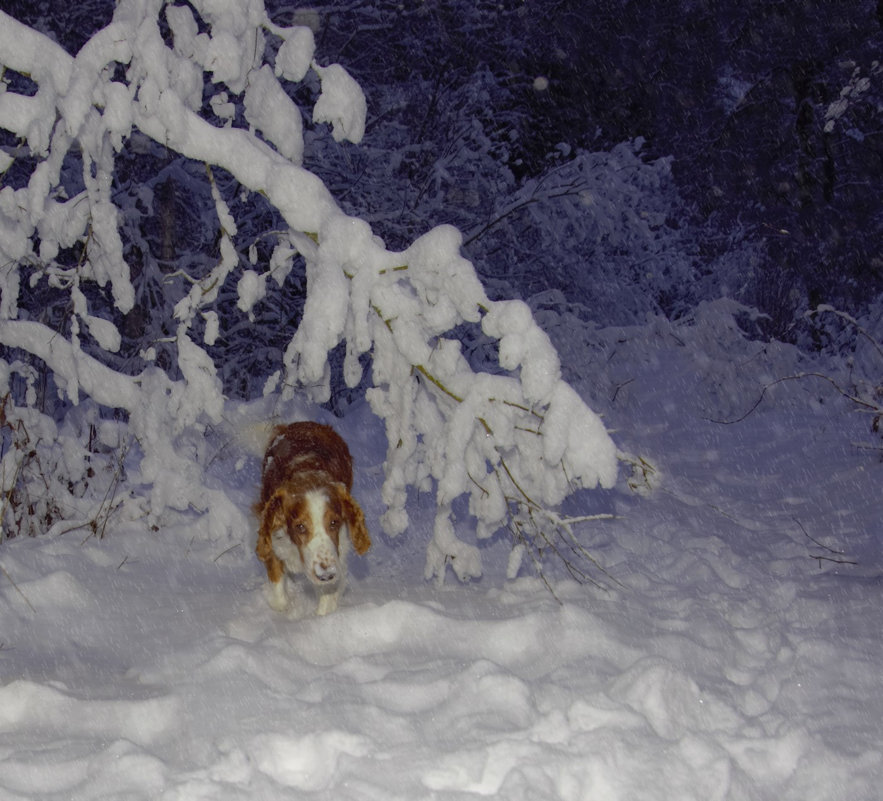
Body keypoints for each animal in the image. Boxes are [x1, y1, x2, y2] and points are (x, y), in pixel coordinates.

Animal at [254, 422, 372, 616]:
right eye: (300, 526)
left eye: (334, 523)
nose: (326, 575)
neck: (306, 471)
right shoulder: (273, 540)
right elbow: (279, 595)